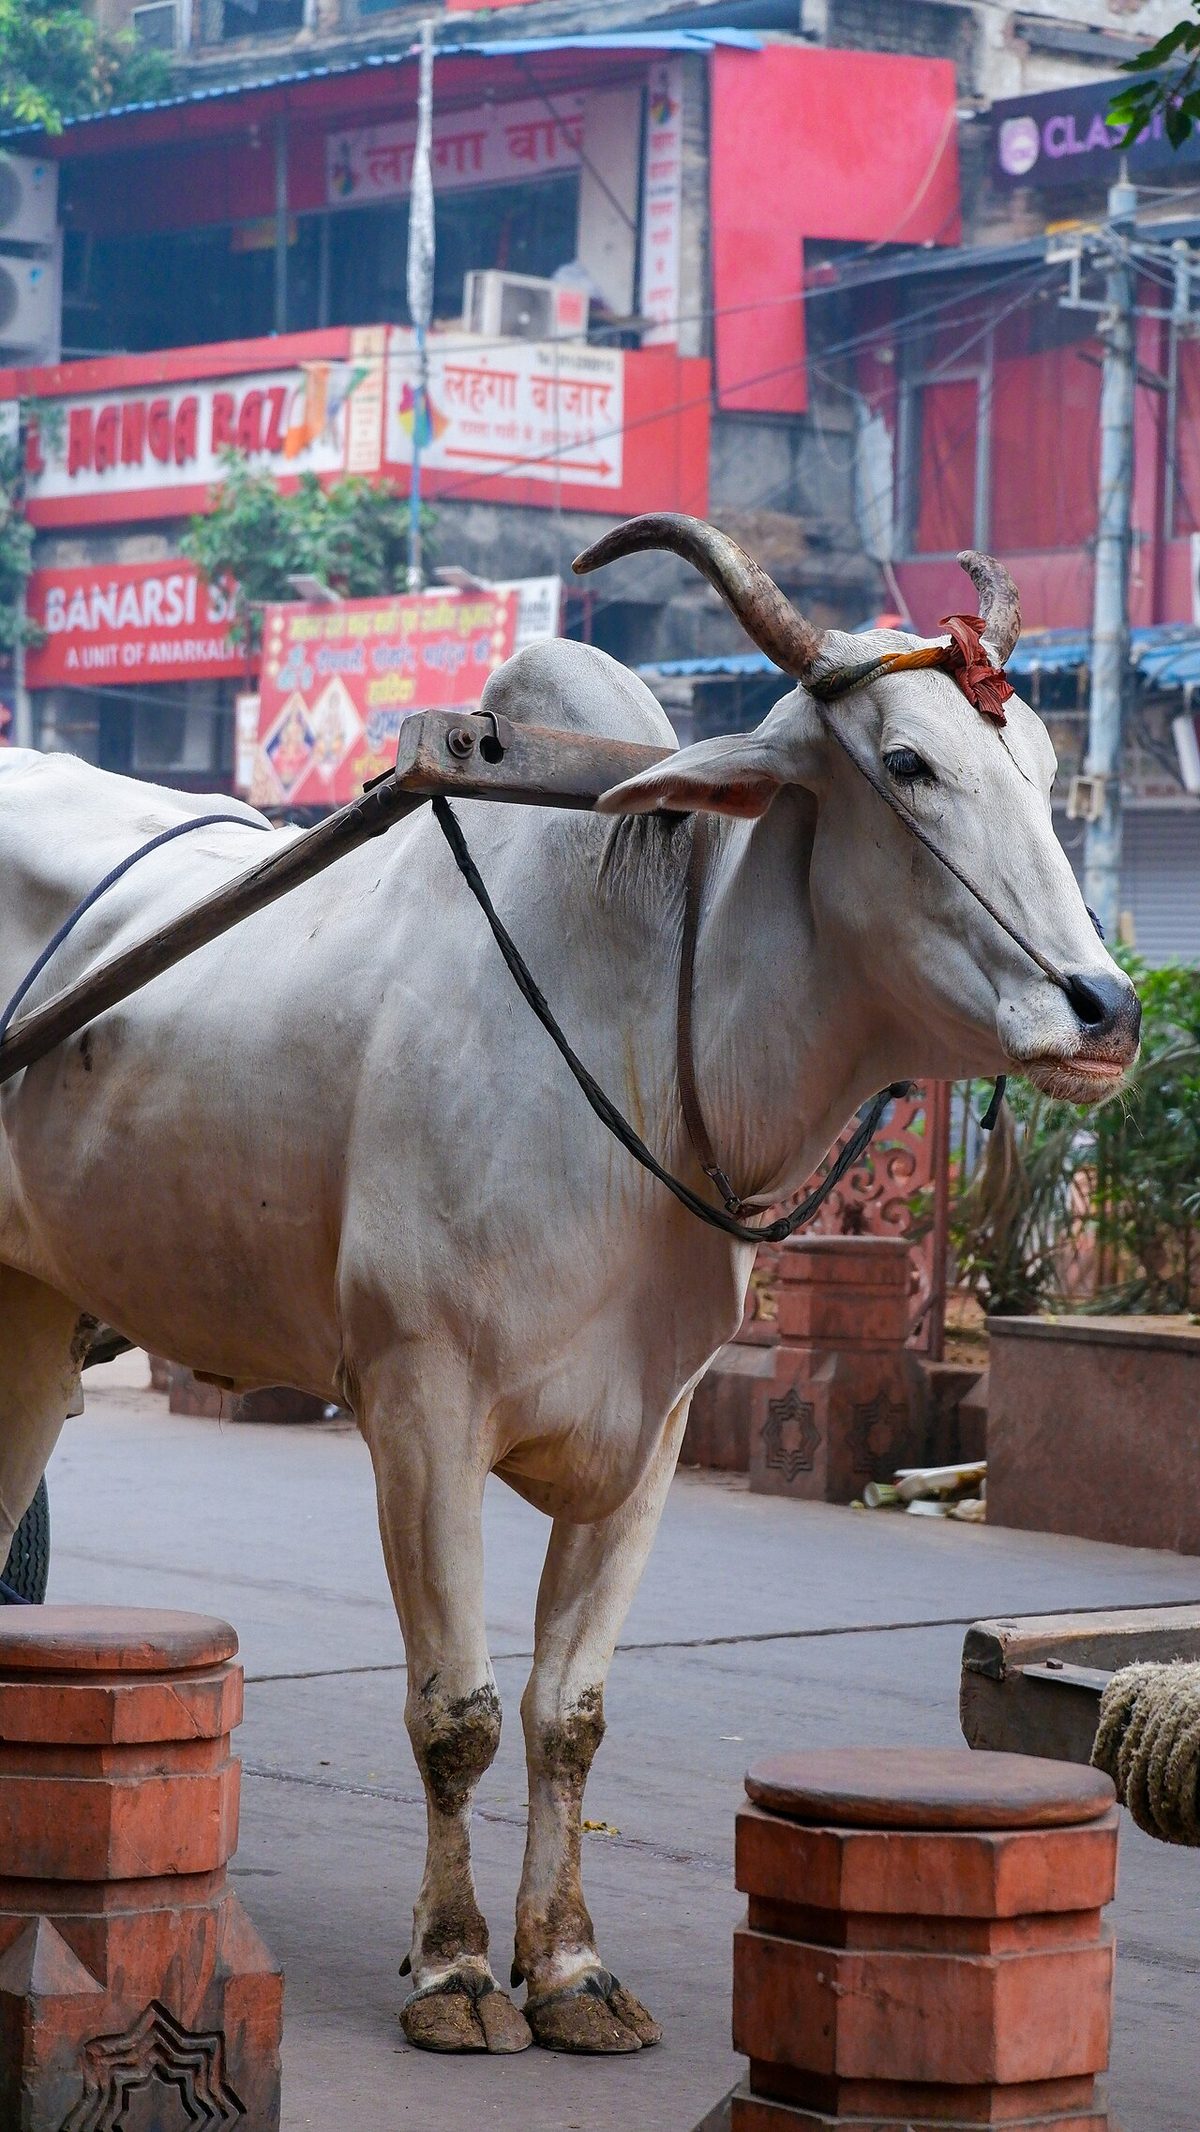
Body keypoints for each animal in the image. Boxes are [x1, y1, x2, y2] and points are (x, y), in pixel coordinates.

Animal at [0, 520, 1139, 2057]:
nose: (1108, 1009)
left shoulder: (650, 1432)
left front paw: (570, 1966)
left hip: (29, 1319)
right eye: (907, 762)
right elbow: (460, 1713)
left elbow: (568, 1714)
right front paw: (455, 1968)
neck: (653, 1013)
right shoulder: (421, 1404)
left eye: (1038, 762)